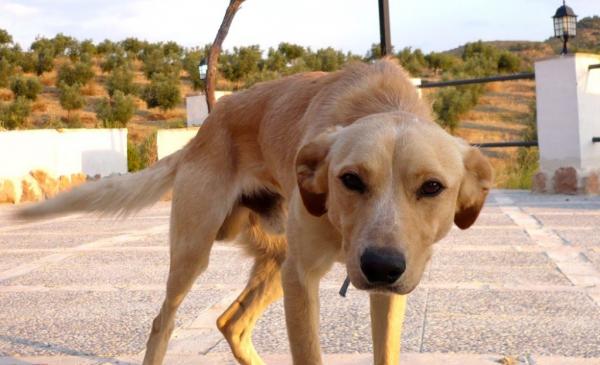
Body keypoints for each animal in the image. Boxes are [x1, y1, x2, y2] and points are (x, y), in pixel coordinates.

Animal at [17, 59, 492, 364]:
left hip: (276, 261)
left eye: (432, 188)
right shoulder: (303, 277)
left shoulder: (391, 290)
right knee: (162, 322)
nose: (380, 267)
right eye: (350, 179)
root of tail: (205, 128)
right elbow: (309, 356)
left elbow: (387, 350)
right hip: (196, 252)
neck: (384, 103)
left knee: (230, 321)